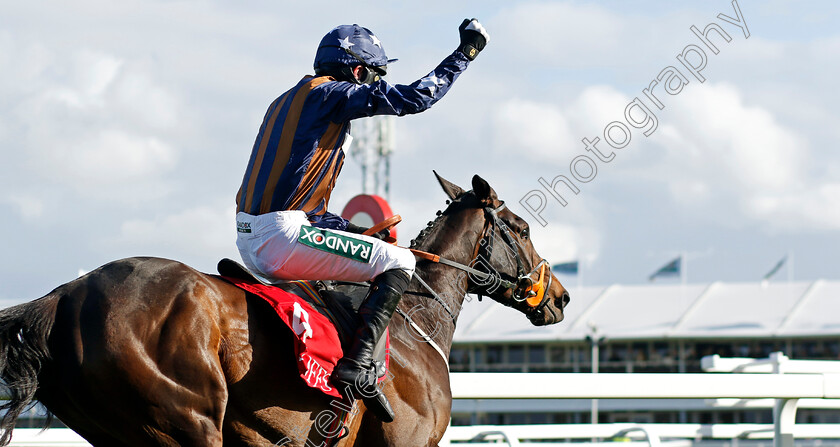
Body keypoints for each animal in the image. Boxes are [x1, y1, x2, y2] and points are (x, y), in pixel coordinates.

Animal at [0, 173, 572, 446]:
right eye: (521, 228)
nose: (560, 298)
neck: (414, 327)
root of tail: (65, 296)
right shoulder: (404, 443)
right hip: (186, 419)